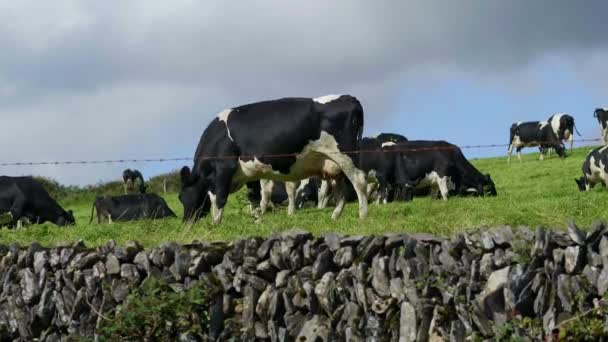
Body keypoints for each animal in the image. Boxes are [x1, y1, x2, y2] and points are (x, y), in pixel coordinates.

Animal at [178, 95, 368, 226]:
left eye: (182, 197)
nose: (186, 223)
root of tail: (348, 98)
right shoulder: (253, 171)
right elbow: (257, 197)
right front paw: (258, 219)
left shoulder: (224, 168)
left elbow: (220, 199)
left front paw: (215, 224)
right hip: (333, 165)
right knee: (341, 190)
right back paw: (335, 216)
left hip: (345, 156)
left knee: (359, 181)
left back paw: (362, 215)